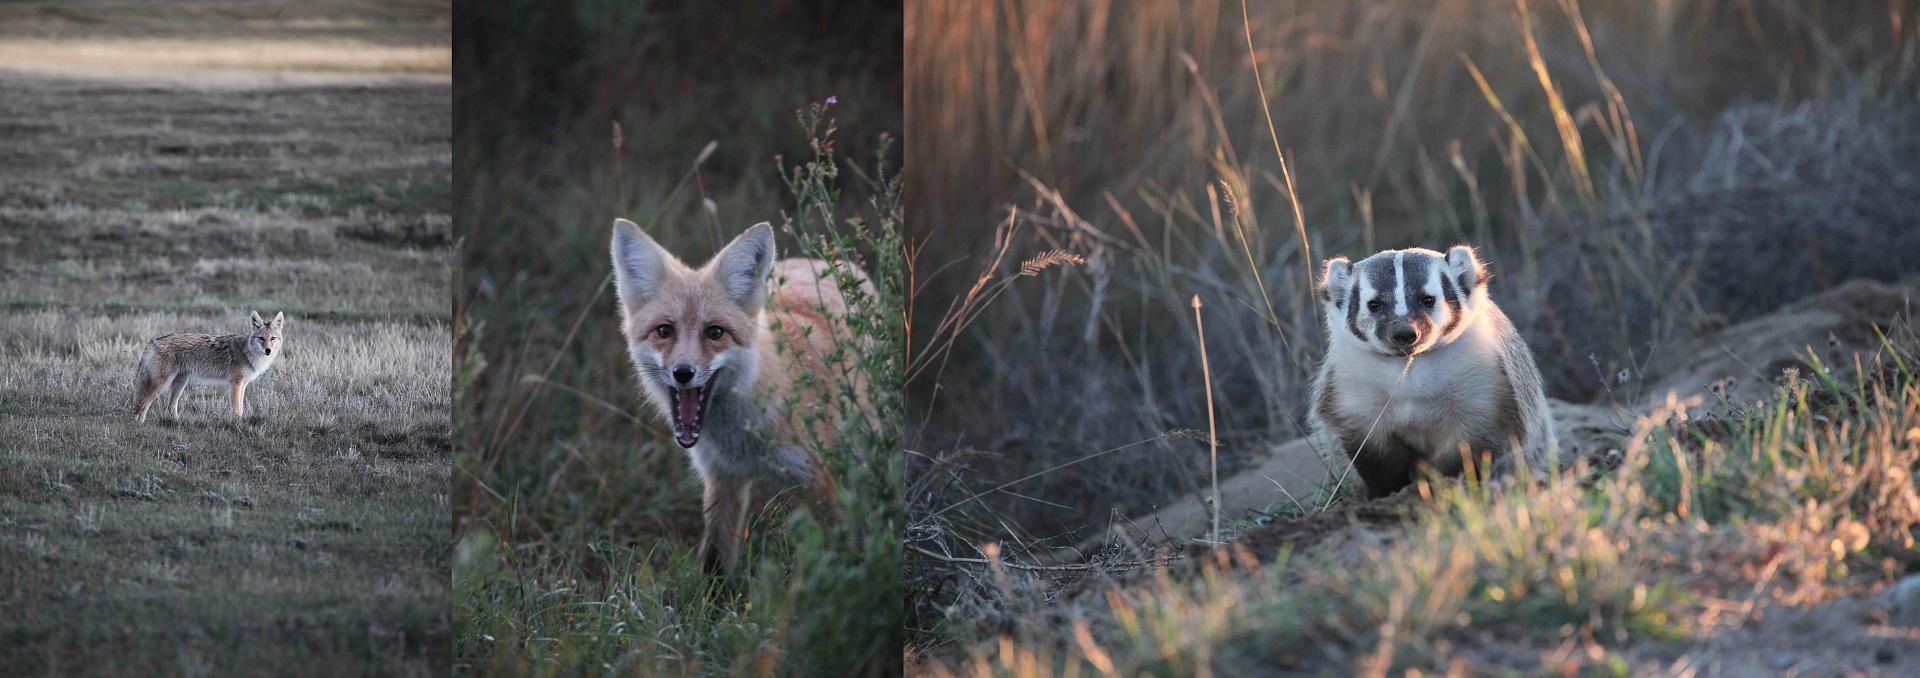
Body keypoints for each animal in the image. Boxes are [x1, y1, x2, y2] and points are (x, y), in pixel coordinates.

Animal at [610, 218, 875, 572]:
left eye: (715, 332)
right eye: (665, 330)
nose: (683, 373)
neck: (742, 437)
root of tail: (820, 260)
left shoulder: (820, 480)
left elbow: (840, 552)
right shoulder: (722, 477)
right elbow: (716, 561)